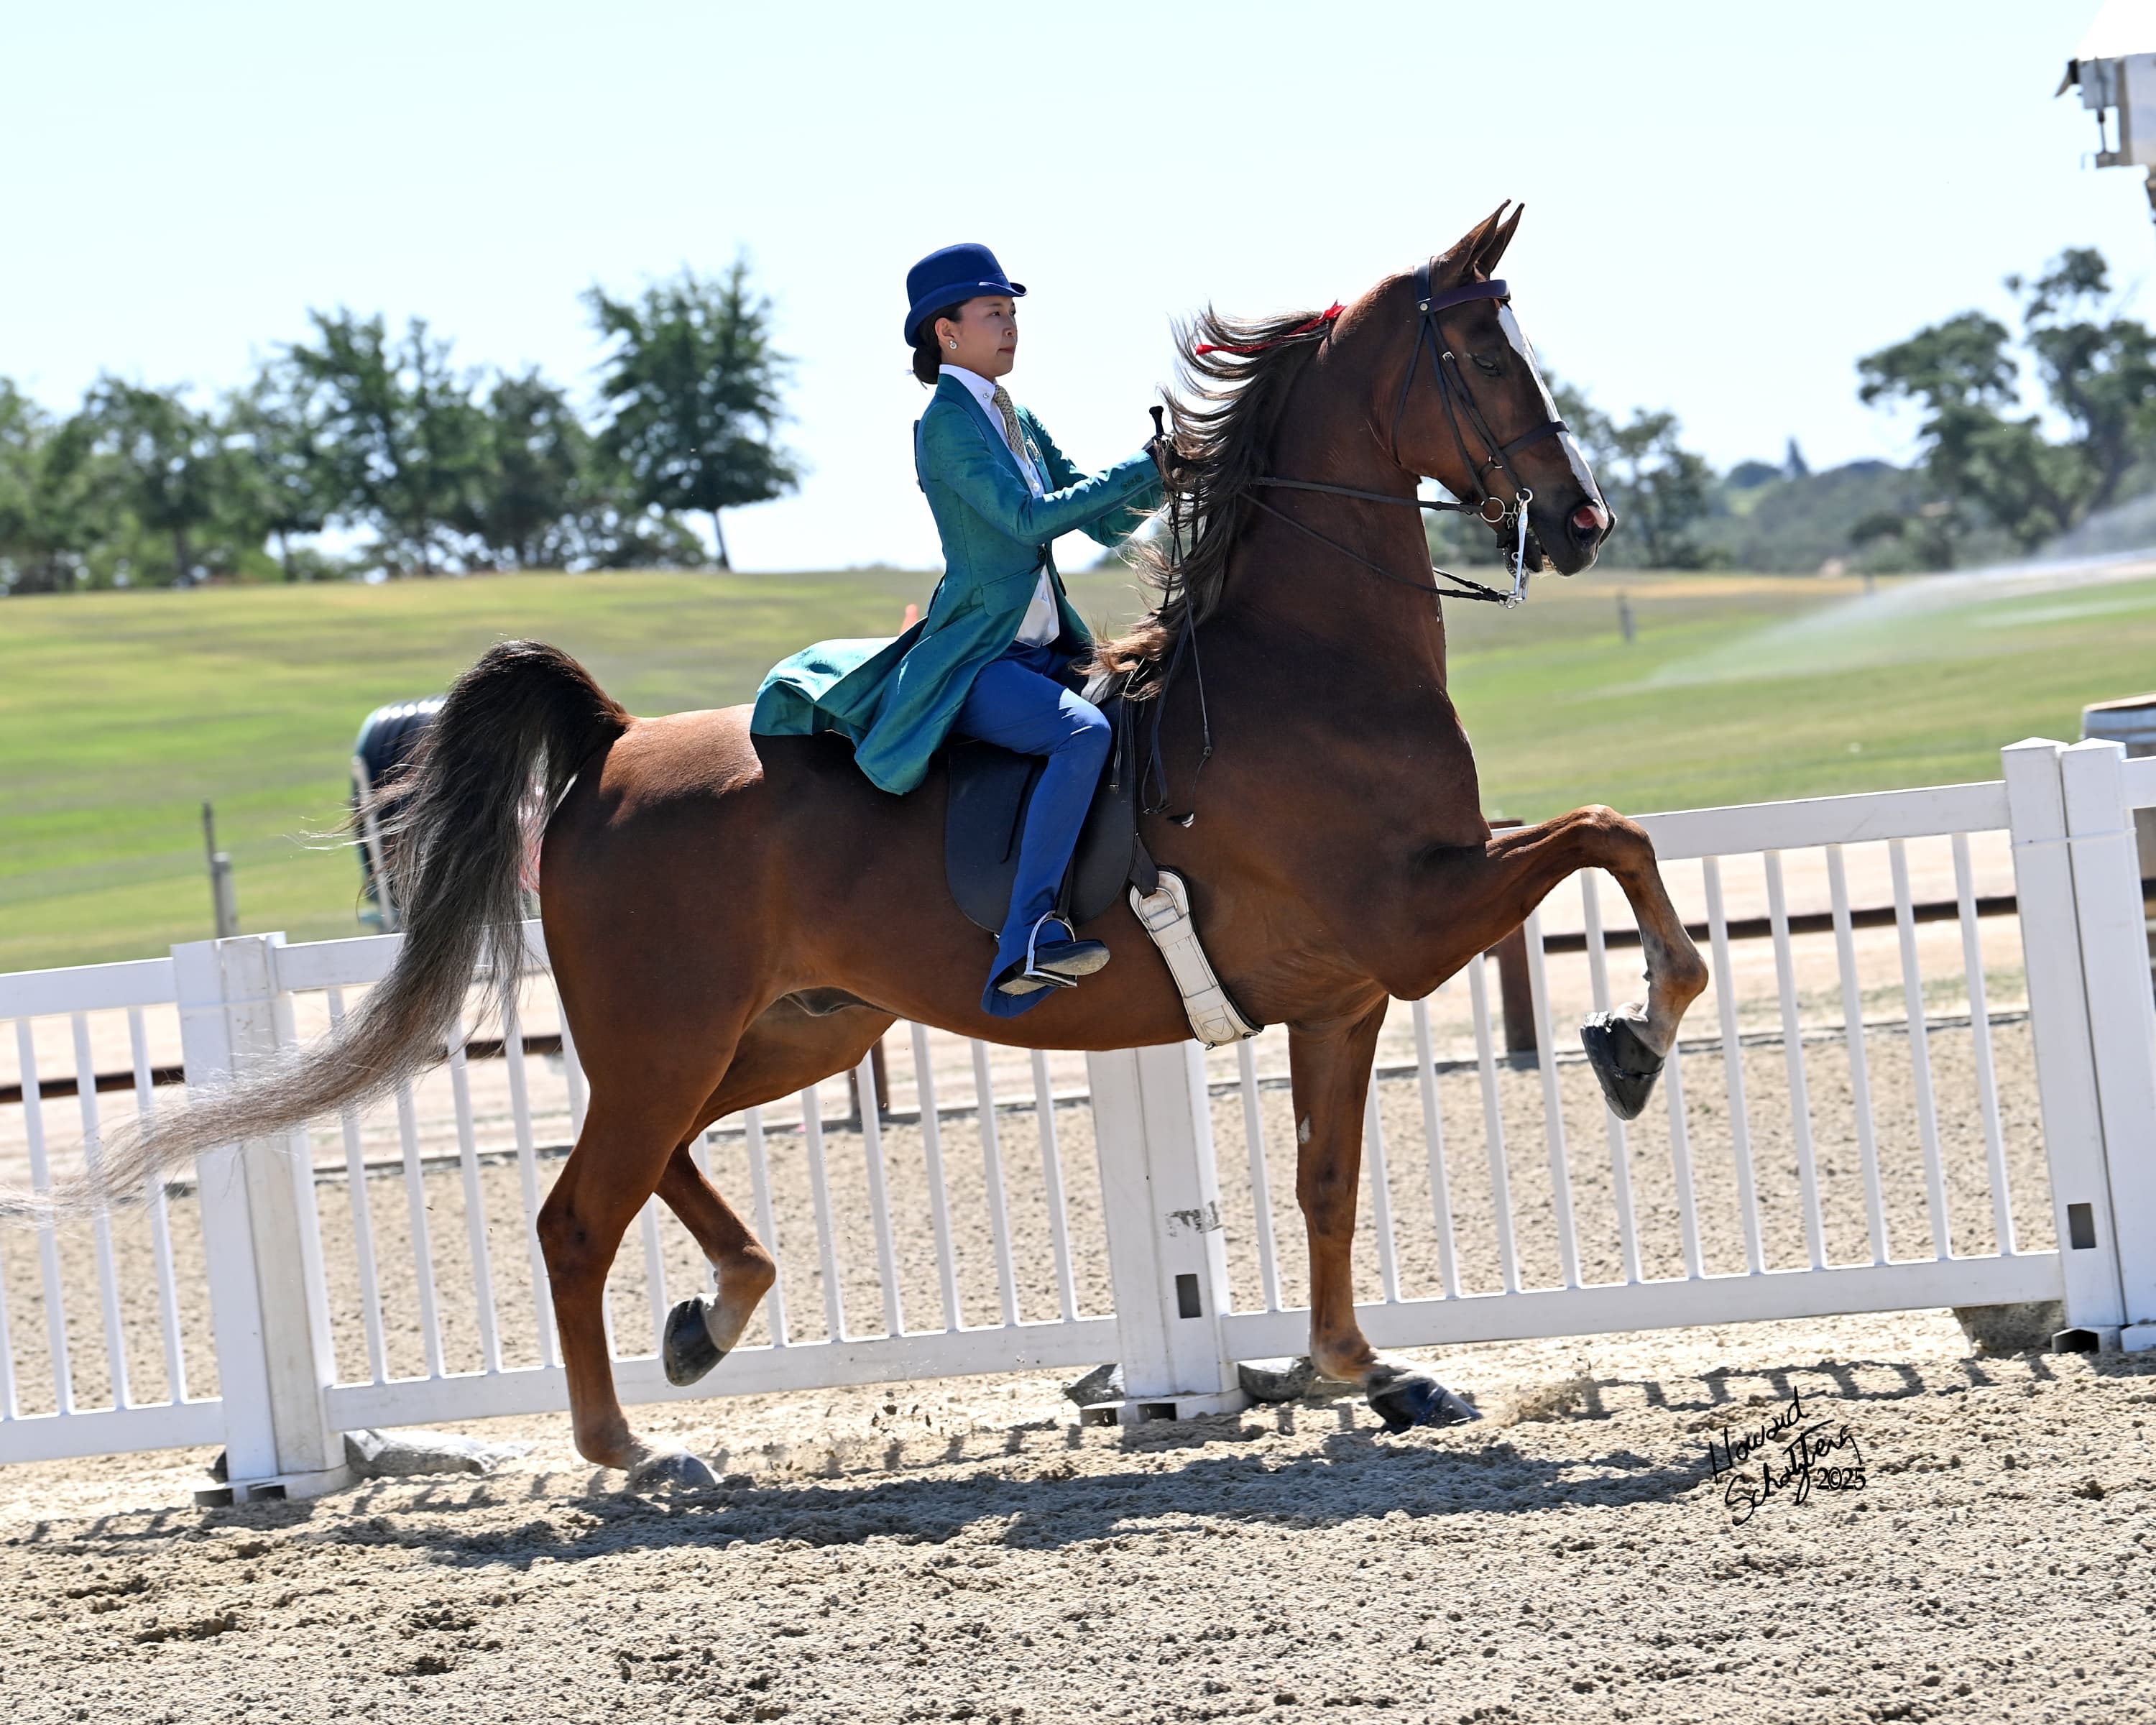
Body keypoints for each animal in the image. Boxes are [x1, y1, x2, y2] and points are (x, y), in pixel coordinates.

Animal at [32, 204, 1707, 1486]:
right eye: (1481, 354)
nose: (1583, 523)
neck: (1312, 661)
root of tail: (611, 752)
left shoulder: (1351, 989)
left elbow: (1328, 1177)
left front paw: (1367, 1371)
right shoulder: (1411, 922)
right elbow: (1610, 835)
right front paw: (1634, 1038)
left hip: (793, 1030)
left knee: (660, 1169)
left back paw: (713, 1317)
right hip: (675, 1032)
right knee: (578, 1214)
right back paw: (631, 1448)